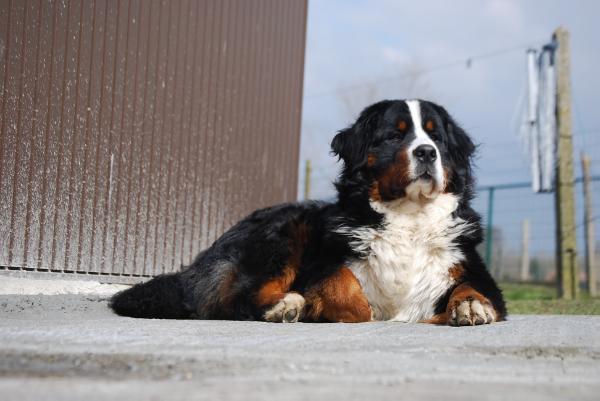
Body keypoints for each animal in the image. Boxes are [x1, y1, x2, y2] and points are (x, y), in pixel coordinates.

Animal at [110, 97, 504, 324]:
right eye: (396, 135)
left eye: (437, 138)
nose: (426, 152)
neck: (408, 215)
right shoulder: (324, 265)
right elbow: (346, 292)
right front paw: (325, 306)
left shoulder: (471, 270)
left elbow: (471, 289)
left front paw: (470, 308)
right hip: (283, 234)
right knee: (231, 299)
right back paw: (285, 305)